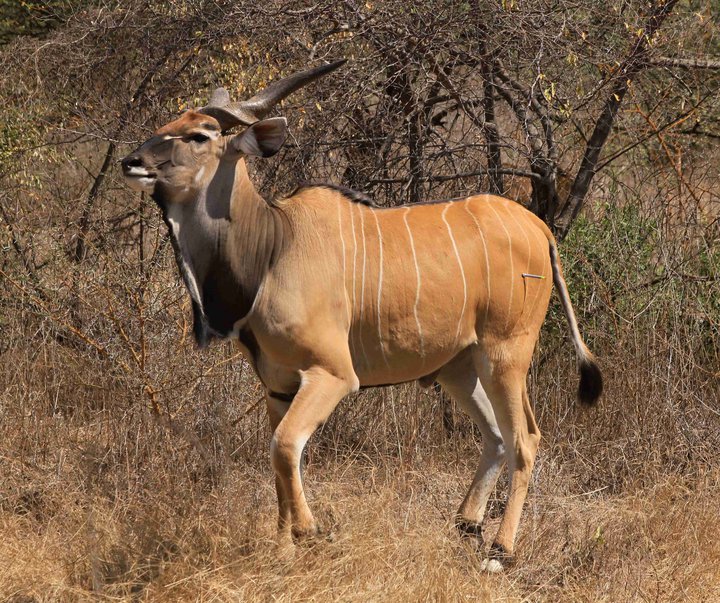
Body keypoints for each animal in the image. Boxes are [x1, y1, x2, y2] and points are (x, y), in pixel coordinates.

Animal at [121, 59, 600, 572]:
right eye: (167, 125)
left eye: (198, 135)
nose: (131, 161)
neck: (272, 245)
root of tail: (540, 229)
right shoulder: (278, 386)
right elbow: (279, 458)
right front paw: (282, 548)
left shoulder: (332, 375)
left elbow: (284, 448)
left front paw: (309, 532)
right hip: (459, 367)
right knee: (495, 436)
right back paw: (467, 523)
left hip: (505, 355)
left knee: (525, 439)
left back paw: (499, 551)